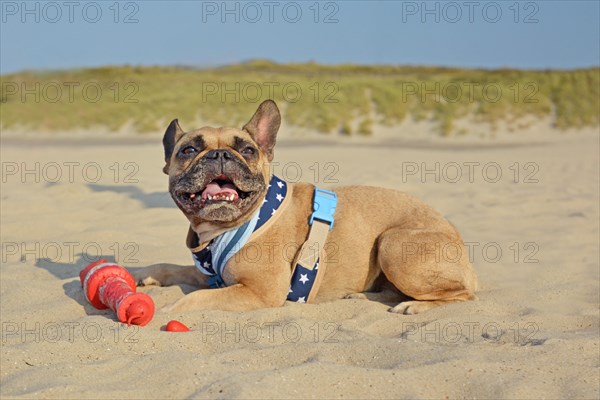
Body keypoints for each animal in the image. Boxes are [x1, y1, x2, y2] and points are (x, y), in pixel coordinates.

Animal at [136, 98, 478, 314]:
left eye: (247, 150)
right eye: (188, 150)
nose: (219, 155)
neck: (224, 230)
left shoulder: (259, 291)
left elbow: (194, 300)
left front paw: (166, 309)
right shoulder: (210, 276)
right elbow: (172, 268)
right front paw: (146, 274)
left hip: (393, 243)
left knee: (463, 295)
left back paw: (414, 305)